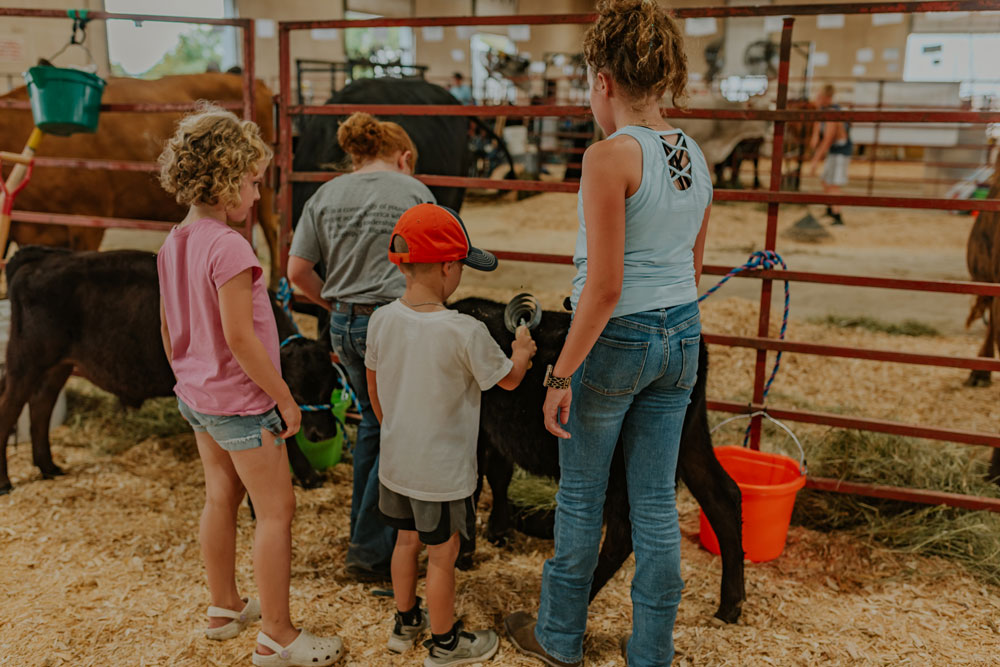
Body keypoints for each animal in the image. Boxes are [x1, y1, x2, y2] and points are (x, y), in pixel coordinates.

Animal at [0, 247, 340, 496]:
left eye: (332, 384)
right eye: (296, 393)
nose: (325, 433)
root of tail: (45, 257)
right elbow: (285, 433)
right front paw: (308, 474)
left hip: (58, 365)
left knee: (41, 406)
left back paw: (48, 466)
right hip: (25, 362)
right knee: (10, 409)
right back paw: (6, 481)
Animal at [452, 298, 744, 628]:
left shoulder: (476, 431)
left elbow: (472, 487)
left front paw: (465, 553)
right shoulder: (495, 433)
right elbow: (499, 475)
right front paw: (498, 532)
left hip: (618, 459)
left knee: (621, 532)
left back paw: (577, 598)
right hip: (686, 436)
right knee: (723, 497)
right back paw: (730, 606)